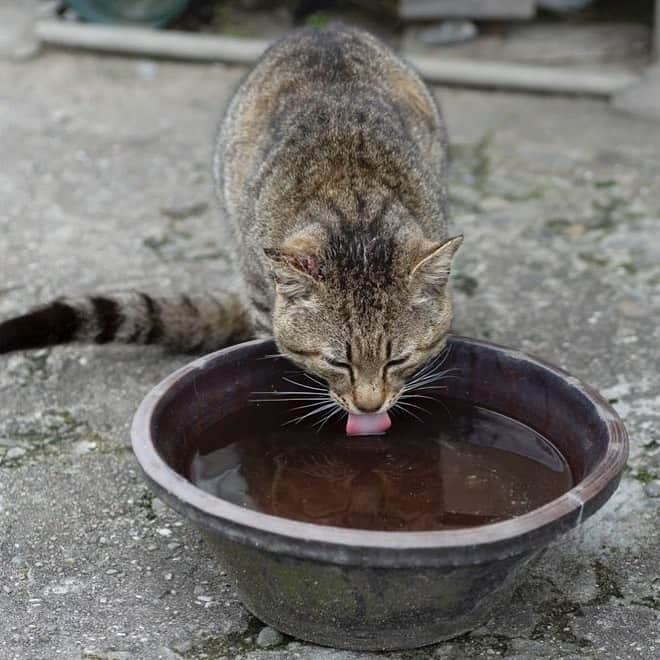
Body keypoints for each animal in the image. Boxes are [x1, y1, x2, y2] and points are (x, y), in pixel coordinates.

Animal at [0, 25, 462, 430]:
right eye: (337, 362)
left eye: (397, 360)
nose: (370, 405)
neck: (354, 201)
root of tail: (326, 27)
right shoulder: (261, 293)